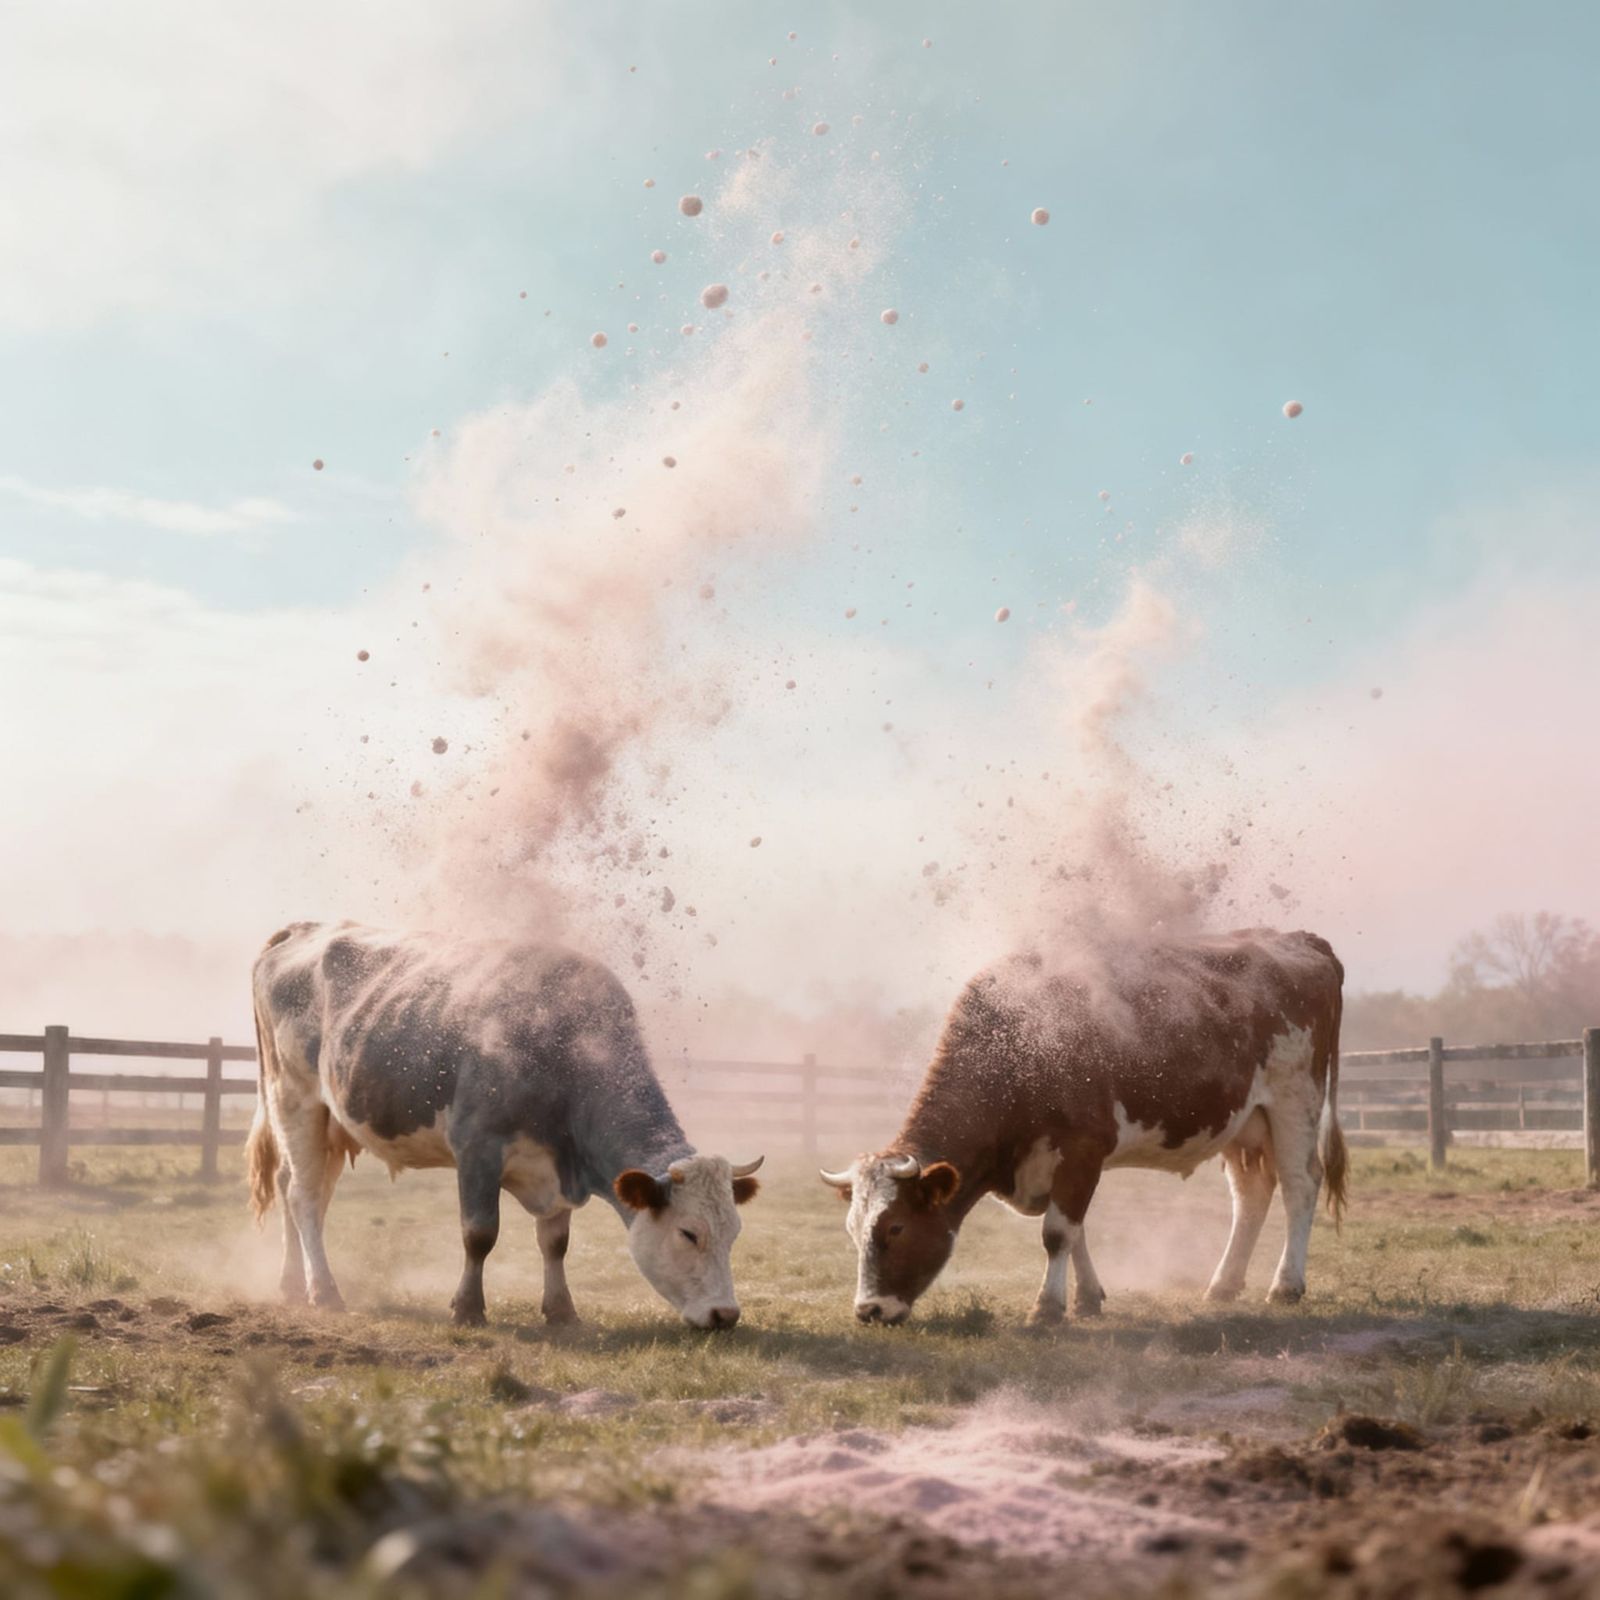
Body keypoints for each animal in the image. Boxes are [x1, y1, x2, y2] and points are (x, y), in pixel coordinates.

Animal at [245, 921, 762, 1330]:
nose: (725, 1315)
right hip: (294, 1097)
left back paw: (292, 1284)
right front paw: (468, 1308)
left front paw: (561, 1310)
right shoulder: (478, 1148)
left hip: (331, 1126)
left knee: (297, 1187)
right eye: (689, 1233)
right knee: (304, 1196)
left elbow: (555, 1242)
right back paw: (325, 1291)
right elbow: (480, 1233)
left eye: (735, 1232)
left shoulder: (557, 1165)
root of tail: (303, 929)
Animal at [820, 928, 1346, 1326]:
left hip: (1295, 1099)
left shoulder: (1082, 1148)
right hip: (1243, 1122)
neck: (1019, 1043)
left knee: (1300, 1185)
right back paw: (1223, 1284)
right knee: (1251, 1195)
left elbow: (1058, 1233)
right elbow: (1076, 1231)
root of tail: (1300, 939)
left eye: (896, 1227)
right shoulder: (1064, 1164)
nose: (868, 1310)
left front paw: (1047, 1308)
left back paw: (1286, 1285)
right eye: (852, 1230)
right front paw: (1088, 1298)